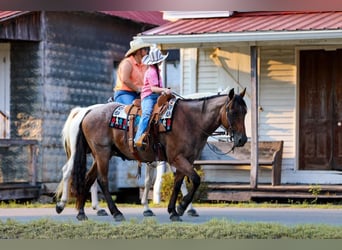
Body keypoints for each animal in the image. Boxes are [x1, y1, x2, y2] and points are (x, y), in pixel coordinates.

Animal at [71, 89, 246, 222]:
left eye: (245, 112)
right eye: (232, 111)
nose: (242, 139)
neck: (190, 120)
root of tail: (89, 112)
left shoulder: (187, 160)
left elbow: (178, 183)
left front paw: (174, 211)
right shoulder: (177, 158)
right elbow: (196, 180)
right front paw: (182, 207)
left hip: (101, 155)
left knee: (88, 179)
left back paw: (81, 213)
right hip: (102, 153)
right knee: (102, 180)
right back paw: (116, 212)